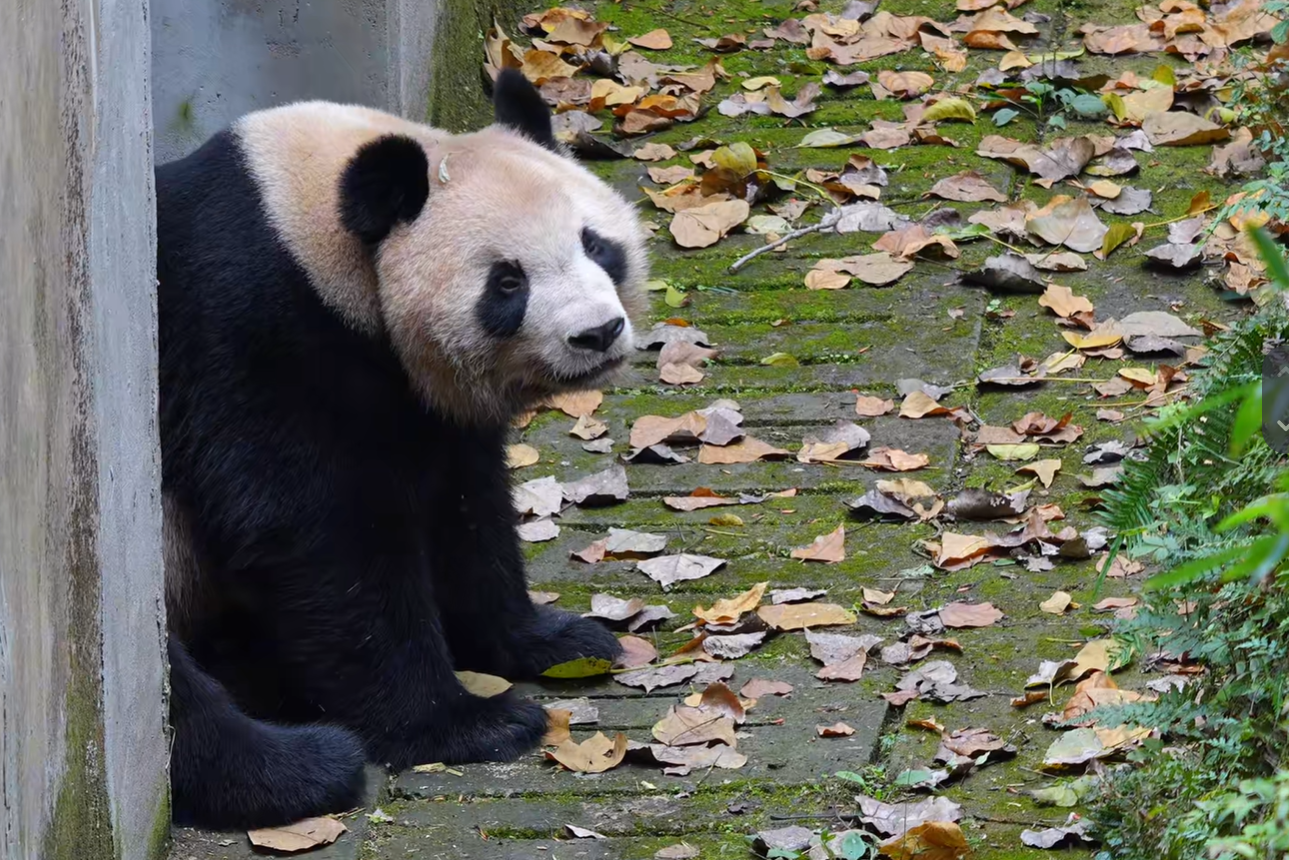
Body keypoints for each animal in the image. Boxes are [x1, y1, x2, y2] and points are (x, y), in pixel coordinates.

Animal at [155, 70, 649, 830]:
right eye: (507, 281)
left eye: (596, 245)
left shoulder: (418, 402)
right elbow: (318, 534)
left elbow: (465, 508)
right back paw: (298, 768)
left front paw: (549, 640)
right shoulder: (246, 331)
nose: (597, 333)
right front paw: (465, 723)